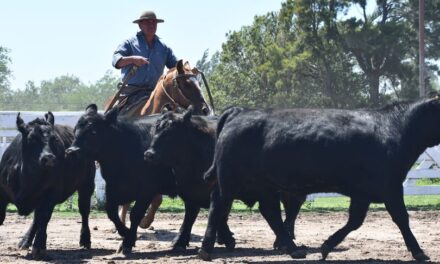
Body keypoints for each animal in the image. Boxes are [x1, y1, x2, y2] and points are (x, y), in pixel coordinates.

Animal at [0, 112, 95, 258]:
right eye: (32, 138)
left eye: (54, 138)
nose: (49, 158)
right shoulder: (2, 194)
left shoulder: (50, 193)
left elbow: (44, 217)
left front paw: (39, 246)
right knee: (36, 219)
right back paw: (25, 241)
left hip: (86, 186)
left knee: (84, 211)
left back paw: (85, 240)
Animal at [144, 110, 306, 254]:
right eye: (154, 131)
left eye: (170, 133)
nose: (149, 154)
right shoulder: (191, 191)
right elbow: (191, 216)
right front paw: (179, 242)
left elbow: (219, 213)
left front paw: (224, 238)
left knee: (292, 209)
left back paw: (283, 239)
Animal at [199, 97, 440, 262]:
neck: (394, 127)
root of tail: (239, 111)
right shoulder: (390, 187)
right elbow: (401, 218)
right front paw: (419, 251)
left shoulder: (363, 193)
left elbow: (355, 221)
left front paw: (326, 246)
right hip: (231, 180)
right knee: (219, 205)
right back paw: (205, 249)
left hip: (262, 185)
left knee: (270, 213)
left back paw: (294, 249)